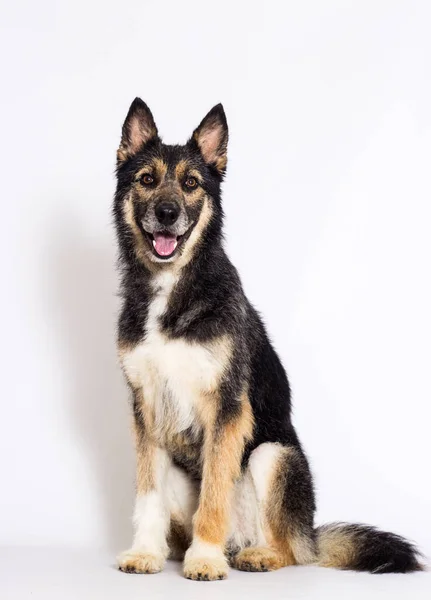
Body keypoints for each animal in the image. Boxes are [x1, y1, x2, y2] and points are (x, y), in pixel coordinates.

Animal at [113, 98, 424, 580]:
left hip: (273, 455)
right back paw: (187, 550)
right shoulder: (146, 409)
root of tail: (310, 534)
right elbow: (147, 495)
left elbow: (214, 492)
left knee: (290, 550)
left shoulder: (227, 409)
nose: (166, 213)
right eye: (147, 180)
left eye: (190, 184)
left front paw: (205, 559)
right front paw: (145, 551)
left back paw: (252, 554)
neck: (173, 288)